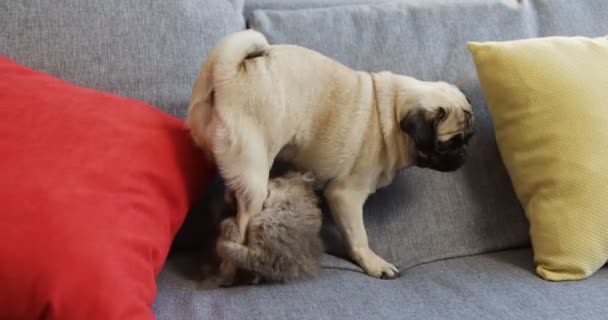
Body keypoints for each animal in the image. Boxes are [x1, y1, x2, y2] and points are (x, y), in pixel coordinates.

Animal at [188, 29, 472, 280]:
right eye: (448, 144)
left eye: (469, 137)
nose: (464, 154)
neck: (390, 112)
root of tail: (226, 73)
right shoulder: (345, 196)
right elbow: (358, 236)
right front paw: (373, 264)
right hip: (254, 174)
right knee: (243, 225)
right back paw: (232, 271)